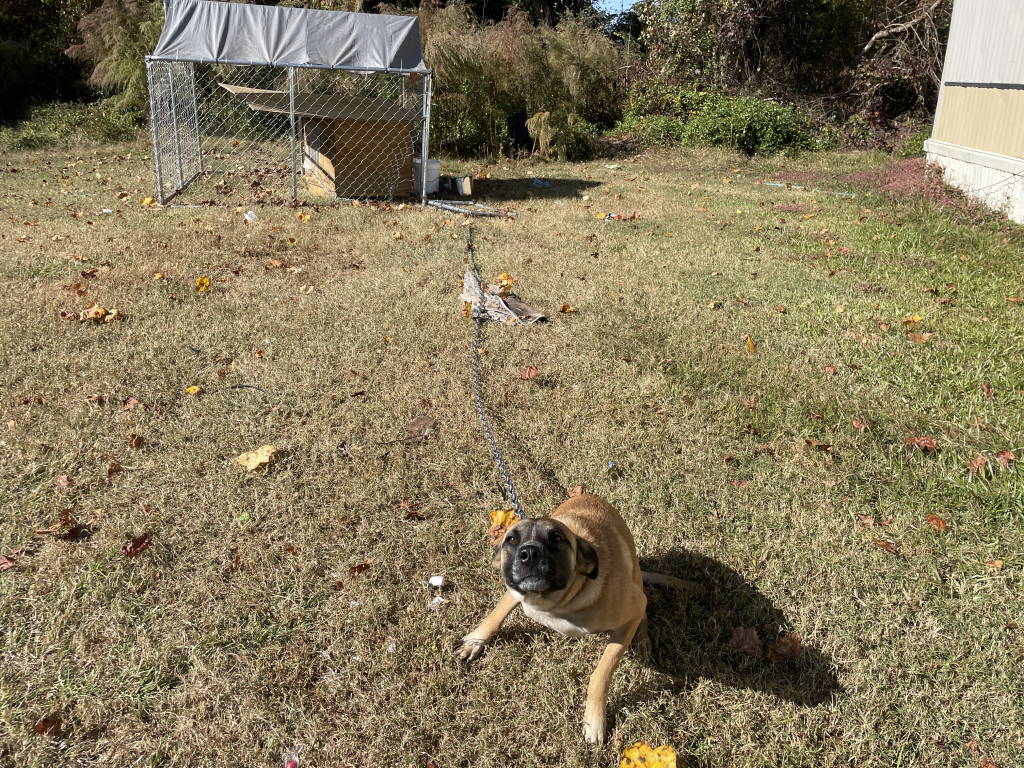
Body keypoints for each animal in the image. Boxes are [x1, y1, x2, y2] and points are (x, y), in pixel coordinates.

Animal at [458, 493, 692, 745]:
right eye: (510, 539)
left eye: (557, 538)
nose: (529, 554)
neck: (557, 603)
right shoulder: (514, 592)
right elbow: (496, 614)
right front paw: (475, 641)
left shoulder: (630, 611)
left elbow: (601, 674)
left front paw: (594, 721)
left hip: (636, 588)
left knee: (644, 610)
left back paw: (641, 640)